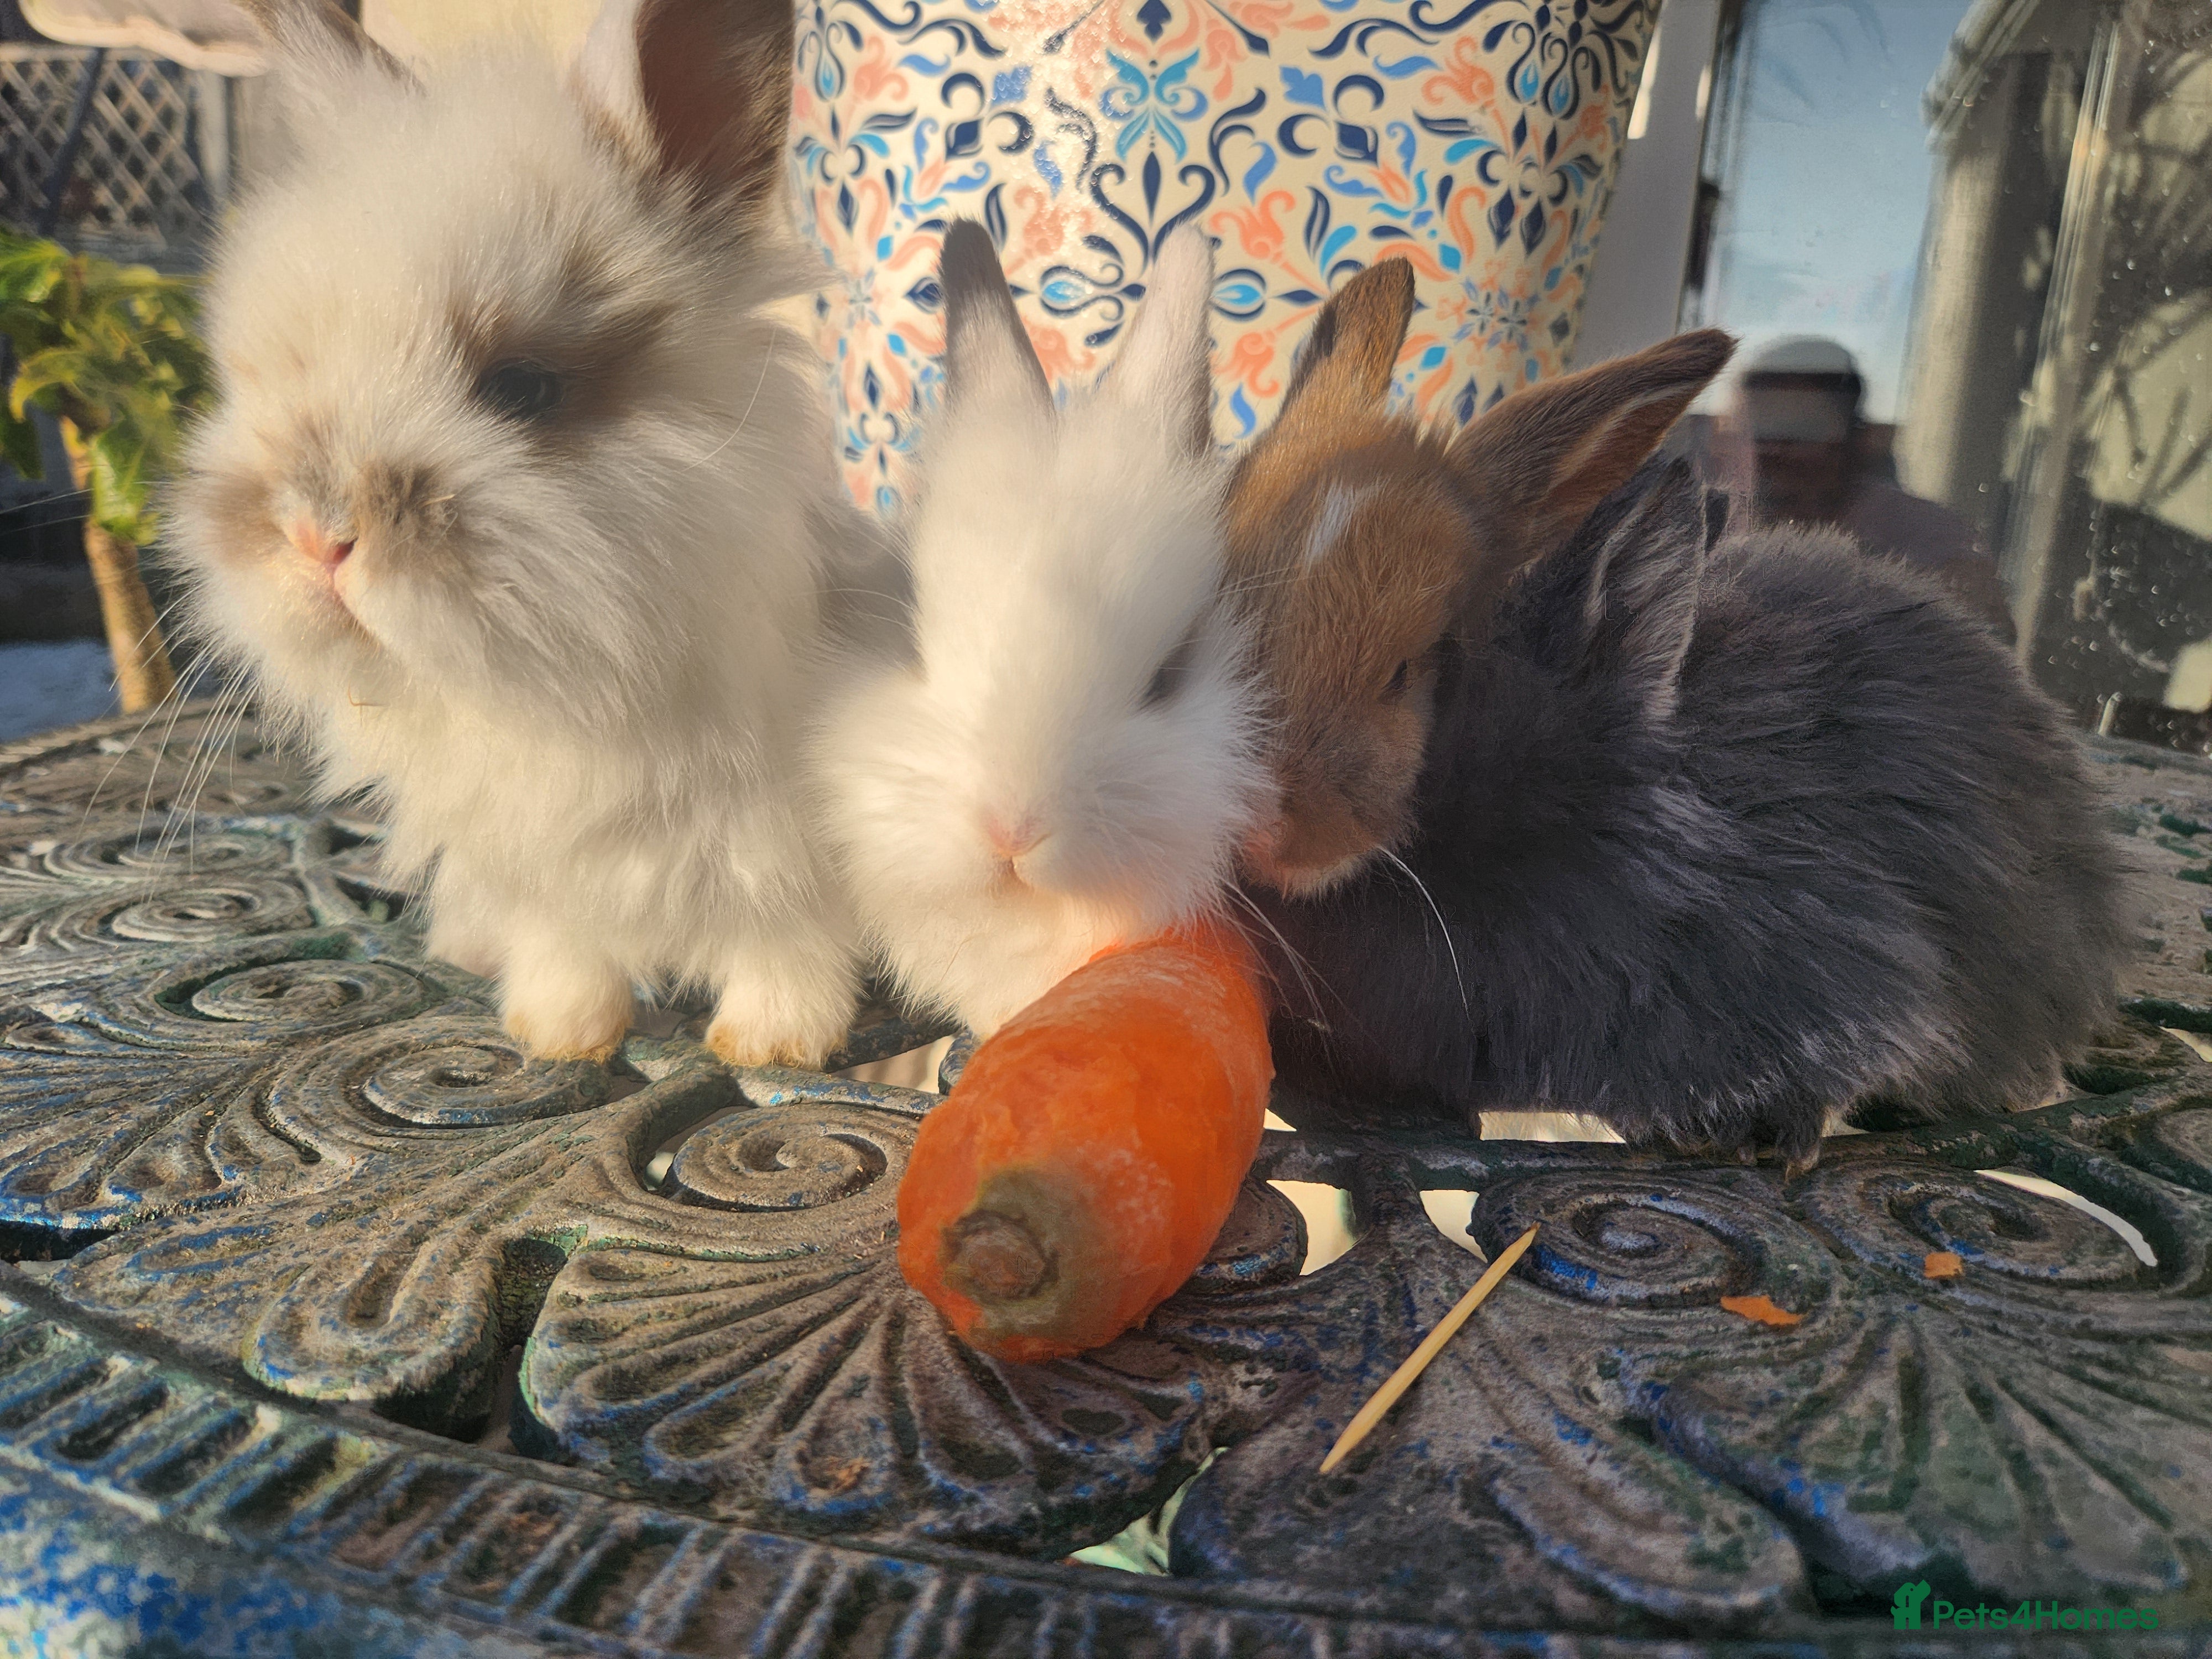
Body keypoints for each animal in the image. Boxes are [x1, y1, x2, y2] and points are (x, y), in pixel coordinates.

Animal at [168, 0, 894, 1067]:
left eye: (522, 388)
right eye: (269, 378)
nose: (317, 537)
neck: (544, 685)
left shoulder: (788, 862)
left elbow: (786, 951)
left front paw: (769, 1045)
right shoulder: (536, 876)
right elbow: (566, 950)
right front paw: (556, 1035)